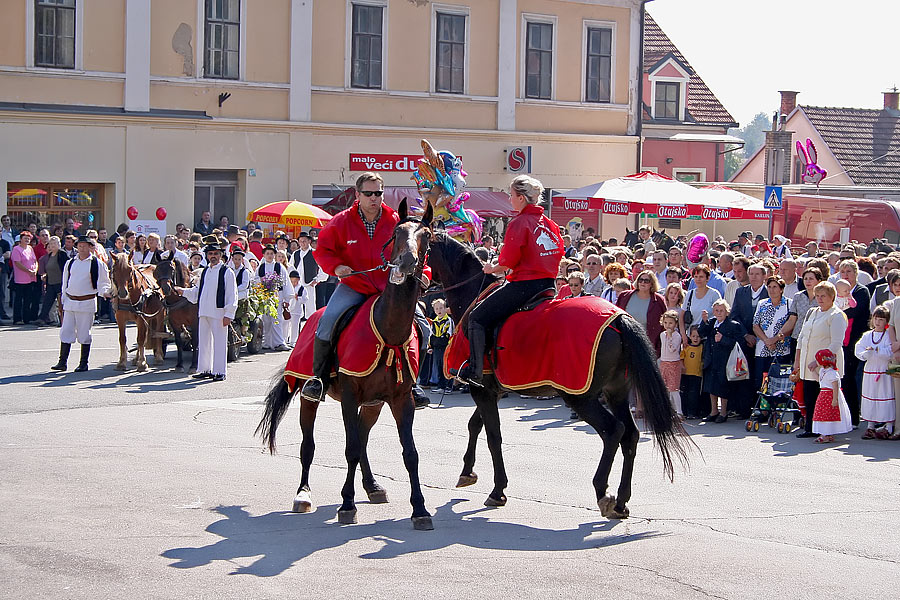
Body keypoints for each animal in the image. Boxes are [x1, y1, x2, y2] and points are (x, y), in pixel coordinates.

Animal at [255, 200, 438, 528]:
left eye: (426, 235)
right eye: (397, 233)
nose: (405, 263)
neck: (388, 331)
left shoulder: (400, 400)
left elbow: (410, 453)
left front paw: (420, 509)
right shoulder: (351, 395)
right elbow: (350, 448)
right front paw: (347, 504)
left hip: (374, 404)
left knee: (363, 439)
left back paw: (372, 486)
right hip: (309, 397)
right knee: (309, 446)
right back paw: (303, 494)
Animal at [422, 232, 688, 516]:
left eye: (423, 250)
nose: (418, 281)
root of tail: (618, 319)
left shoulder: (481, 389)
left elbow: (493, 436)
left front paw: (498, 489)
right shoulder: (492, 390)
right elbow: (475, 425)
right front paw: (467, 472)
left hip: (581, 397)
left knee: (613, 431)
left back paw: (602, 492)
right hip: (616, 393)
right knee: (630, 435)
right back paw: (621, 500)